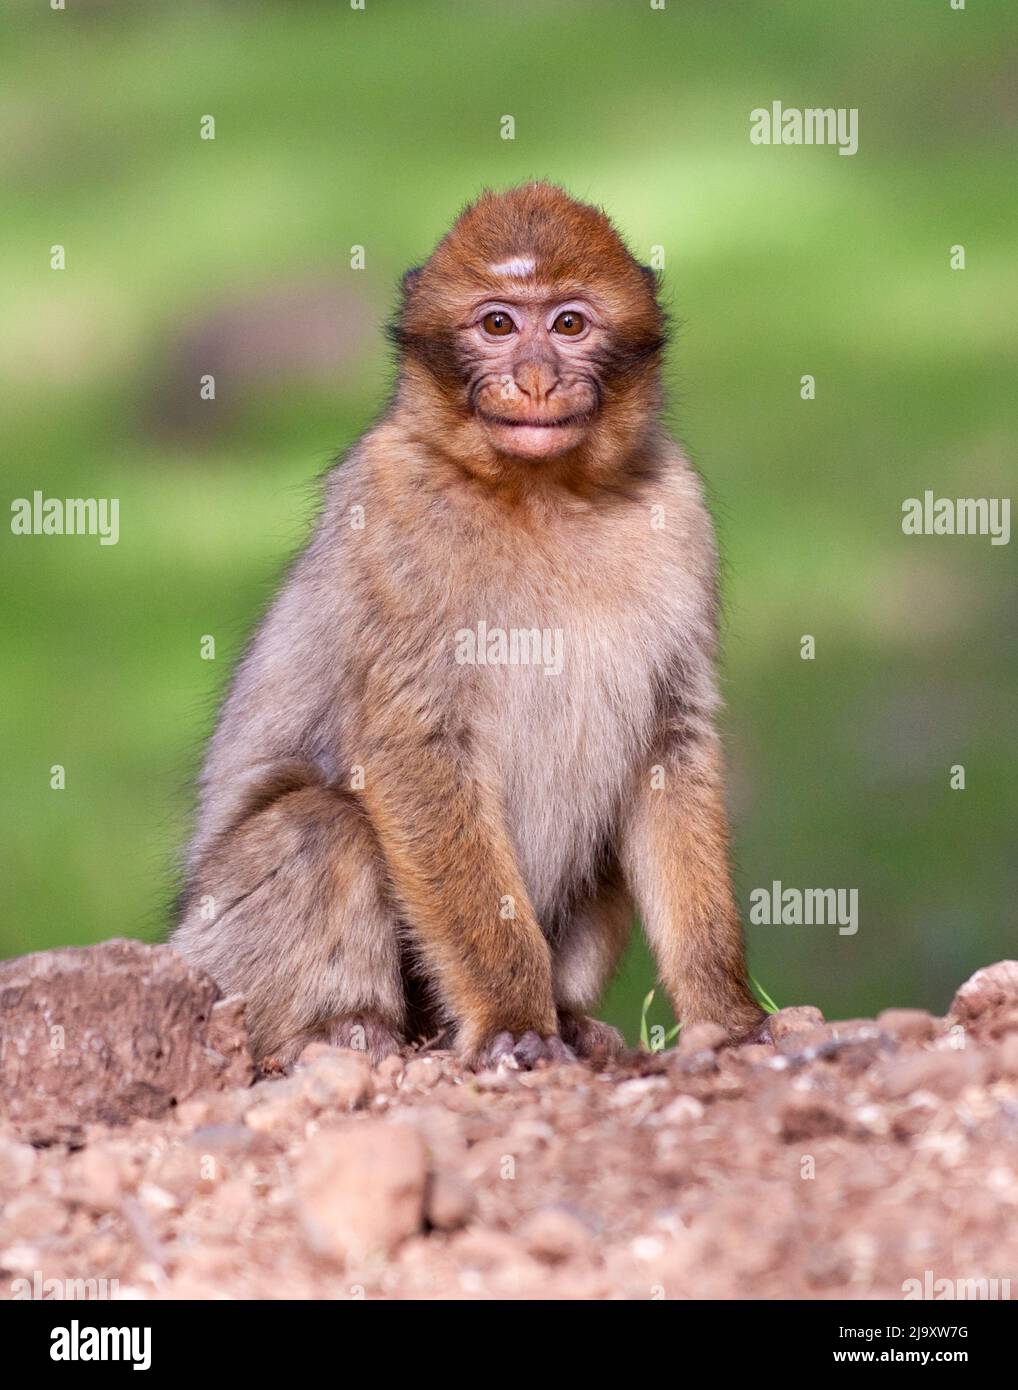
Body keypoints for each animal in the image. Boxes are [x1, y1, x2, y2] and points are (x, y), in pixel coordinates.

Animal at [173, 182, 762, 1061]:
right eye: (497, 326)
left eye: (568, 324)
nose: (535, 378)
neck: (542, 493)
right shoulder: (390, 508)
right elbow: (414, 747)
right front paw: (514, 1015)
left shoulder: (678, 504)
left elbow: (672, 742)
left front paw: (725, 1010)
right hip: (212, 956)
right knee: (319, 824)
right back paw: (340, 1027)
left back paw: (573, 1017)